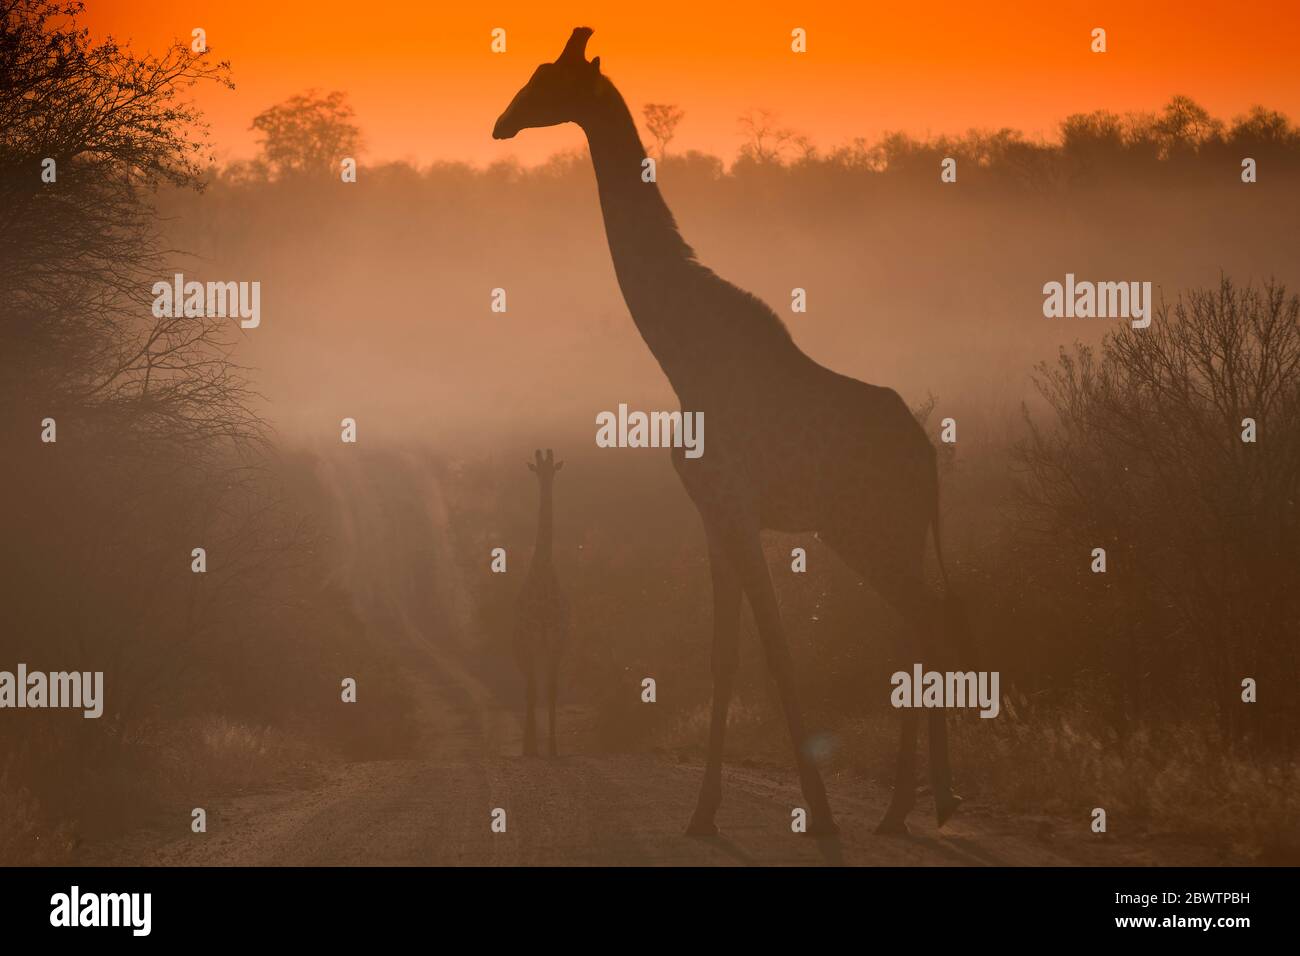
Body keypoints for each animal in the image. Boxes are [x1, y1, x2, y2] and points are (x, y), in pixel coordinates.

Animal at [496, 27, 967, 837]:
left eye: (548, 77)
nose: (503, 122)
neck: (681, 346)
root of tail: (927, 456)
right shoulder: (712, 512)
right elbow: (724, 656)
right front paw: (704, 812)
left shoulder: (737, 504)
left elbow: (777, 649)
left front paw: (819, 813)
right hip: (882, 532)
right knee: (921, 618)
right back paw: (914, 803)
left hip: (867, 528)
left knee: (925, 616)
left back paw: (913, 802)